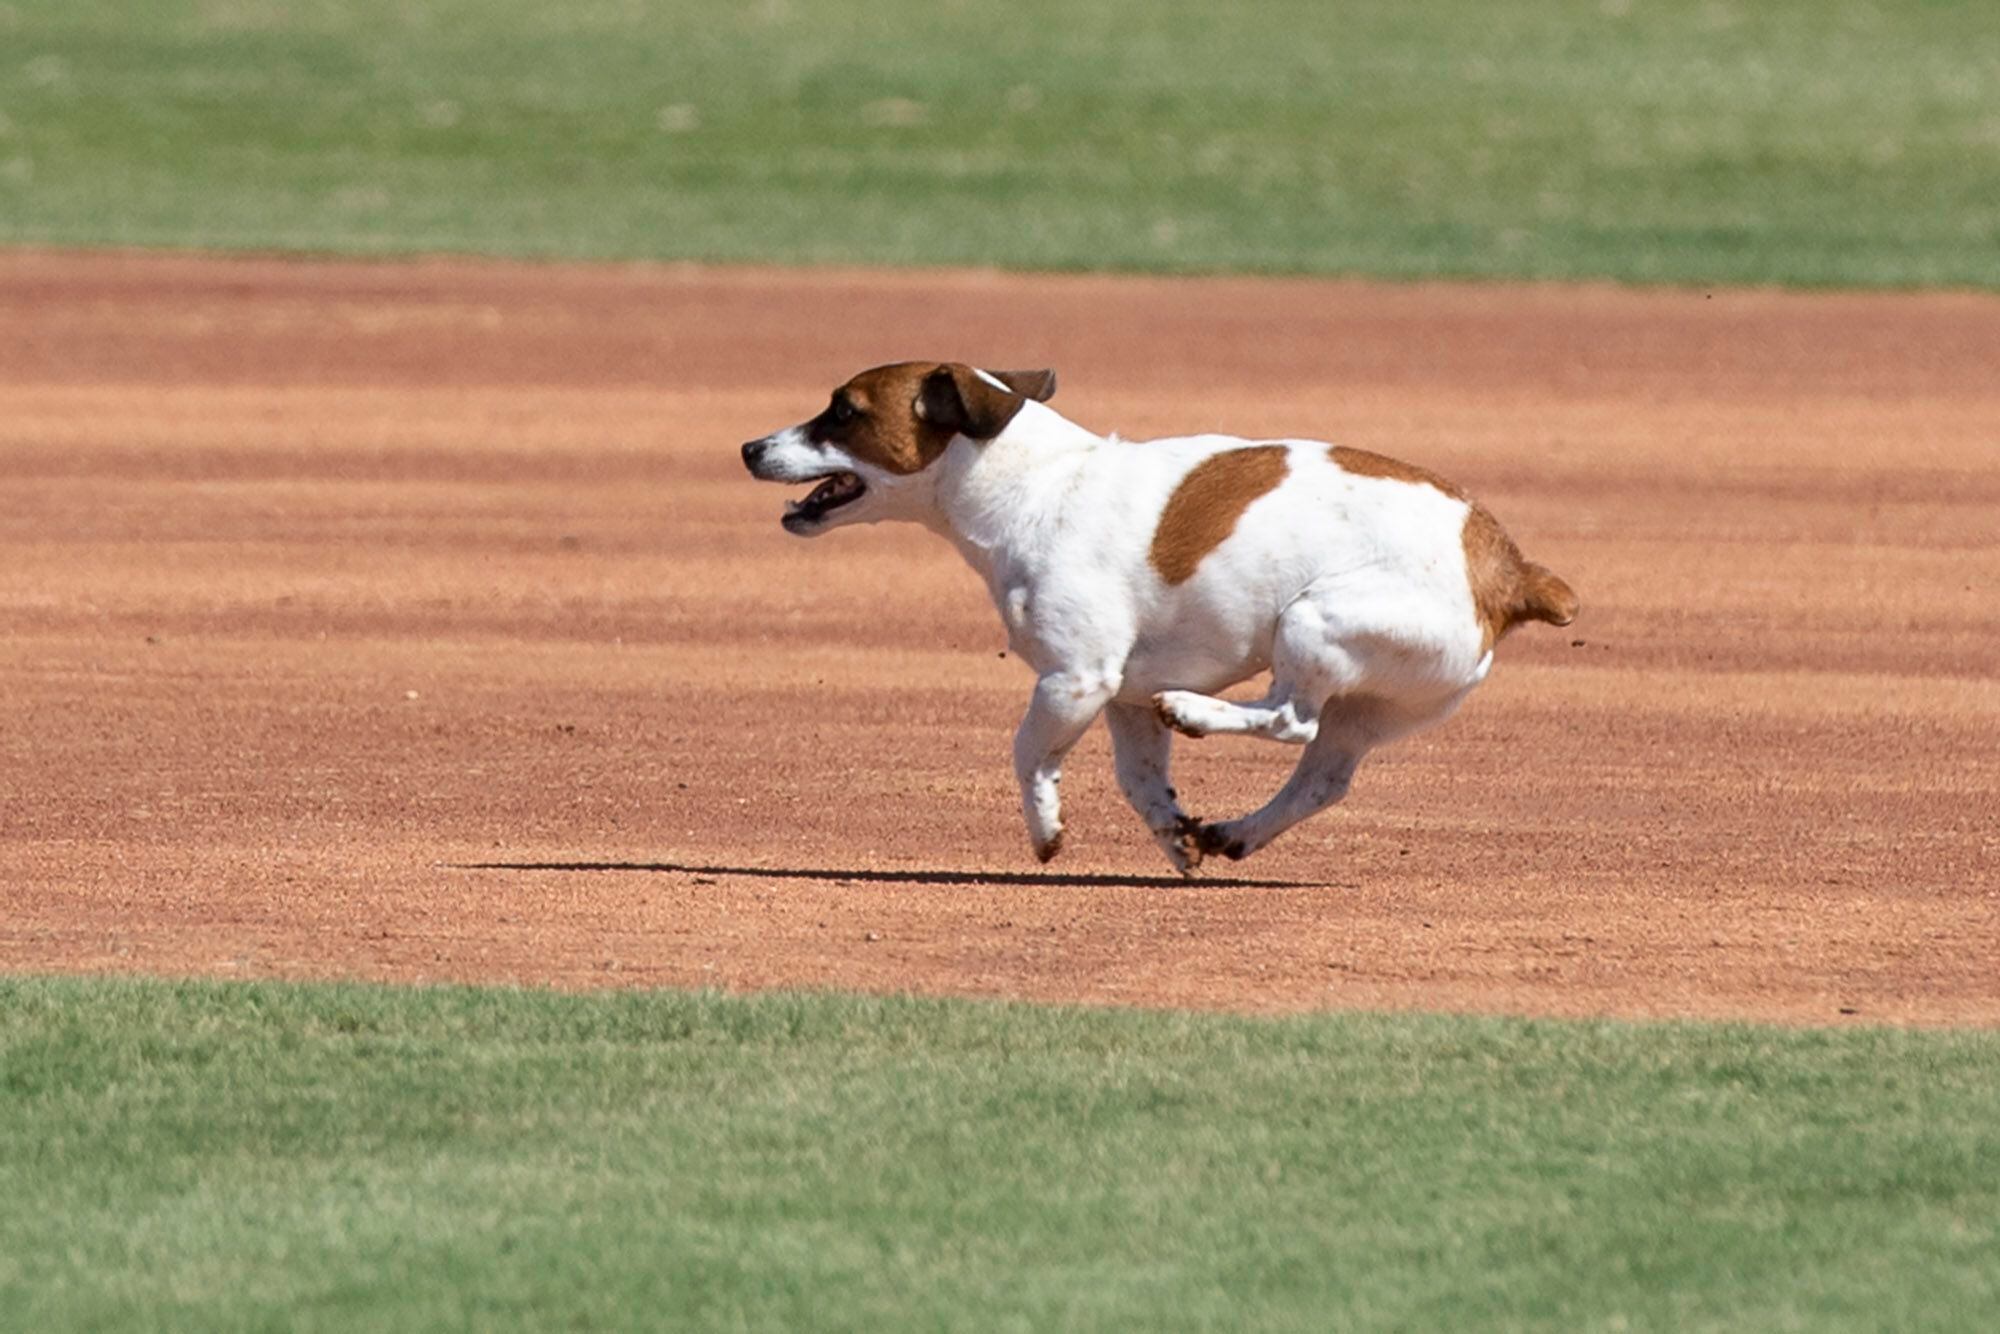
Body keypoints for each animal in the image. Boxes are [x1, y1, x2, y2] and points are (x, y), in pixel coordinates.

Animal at [740, 362, 1576, 876]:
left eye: (843, 412)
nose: (749, 445)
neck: (1036, 484)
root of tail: (1507, 567)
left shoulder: (1076, 680)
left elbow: (1027, 755)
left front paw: (1045, 828)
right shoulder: (1125, 698)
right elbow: (1140, 781)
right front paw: (1174, 837)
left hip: (1313, 620)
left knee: (1289, 718)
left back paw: (1199, 712)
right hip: (1372, 707)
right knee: (1321, 777)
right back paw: (1237, 831)